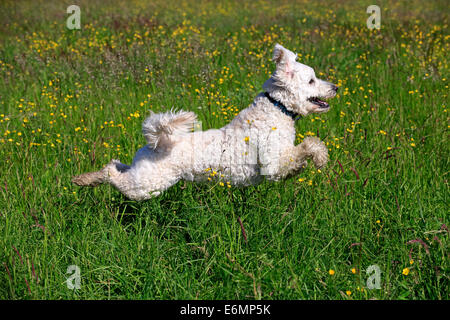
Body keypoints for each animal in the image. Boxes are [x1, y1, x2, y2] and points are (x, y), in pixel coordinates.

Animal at [72, 44, 338, 200]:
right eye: (312, 80)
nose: (336, 87)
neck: (277, 108)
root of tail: (157, 142)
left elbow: (302, 154)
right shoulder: (273, 165)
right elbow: (311, 144)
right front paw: (321, 159)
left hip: (143, 174)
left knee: (116, 165)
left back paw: (88, 178)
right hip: (147, 186)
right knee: (112, 174)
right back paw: (83, 179)